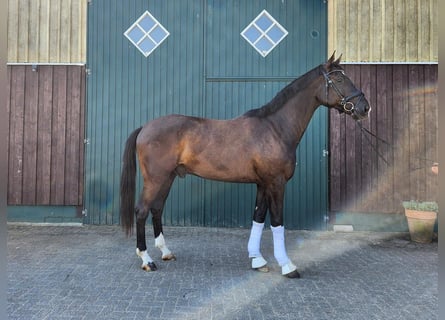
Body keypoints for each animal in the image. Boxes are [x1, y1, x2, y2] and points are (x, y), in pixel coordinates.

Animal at [118, 52, 368, 278]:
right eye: (339, 79)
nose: (364, 107)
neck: (275, 128)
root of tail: (145, 127)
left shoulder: (263, 184)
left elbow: (258, 218)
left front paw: (257, 260)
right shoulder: (276, 183)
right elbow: (277, 221)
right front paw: (287, 266)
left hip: (168, 177)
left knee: (157, 208)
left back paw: (166, 252)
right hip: (156, 179)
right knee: (141, 210)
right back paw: (147, 260)